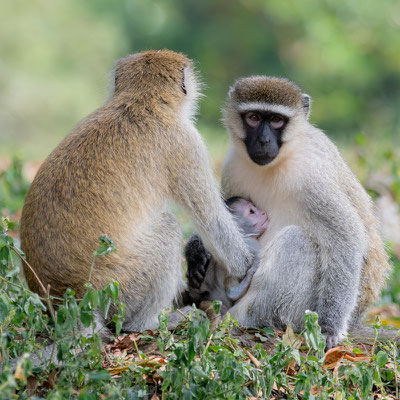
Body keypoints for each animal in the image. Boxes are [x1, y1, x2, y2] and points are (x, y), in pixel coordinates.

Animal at [19, 51, 256, 336]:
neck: (141, 101)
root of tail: (69, 300)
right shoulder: (186, 144)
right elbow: (214, 222)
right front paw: (246, 267)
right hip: (117, 289)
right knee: (167, 227)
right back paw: (148, 323)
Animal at [220, 76, 392, 348]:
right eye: (254, 117)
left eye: (277, 120)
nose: (263, 141)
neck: (280, 161)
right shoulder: (231, 167)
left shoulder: (312, 175)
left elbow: (346, 239)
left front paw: (330, 327)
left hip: (301, 311)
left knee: (297, 240)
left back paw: (242, 318)